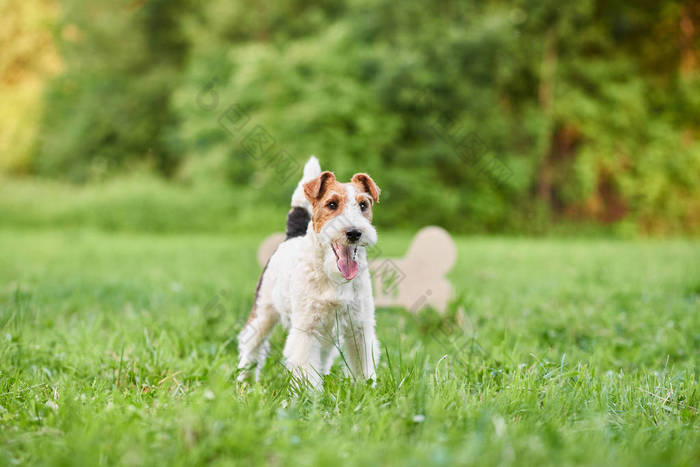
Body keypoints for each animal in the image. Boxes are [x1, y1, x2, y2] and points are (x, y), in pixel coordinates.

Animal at [239, 155, 382, 390]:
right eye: (332, 204)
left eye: (364, 204)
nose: (354, 232)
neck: (333, 277)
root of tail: (290, 236)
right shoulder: (307, 329)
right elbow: (306, 367)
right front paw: (309, 395)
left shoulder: (359, 326)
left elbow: (362, 366)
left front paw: (366, 390)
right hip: (263, 312)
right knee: (250, 346)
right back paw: (244, 381)